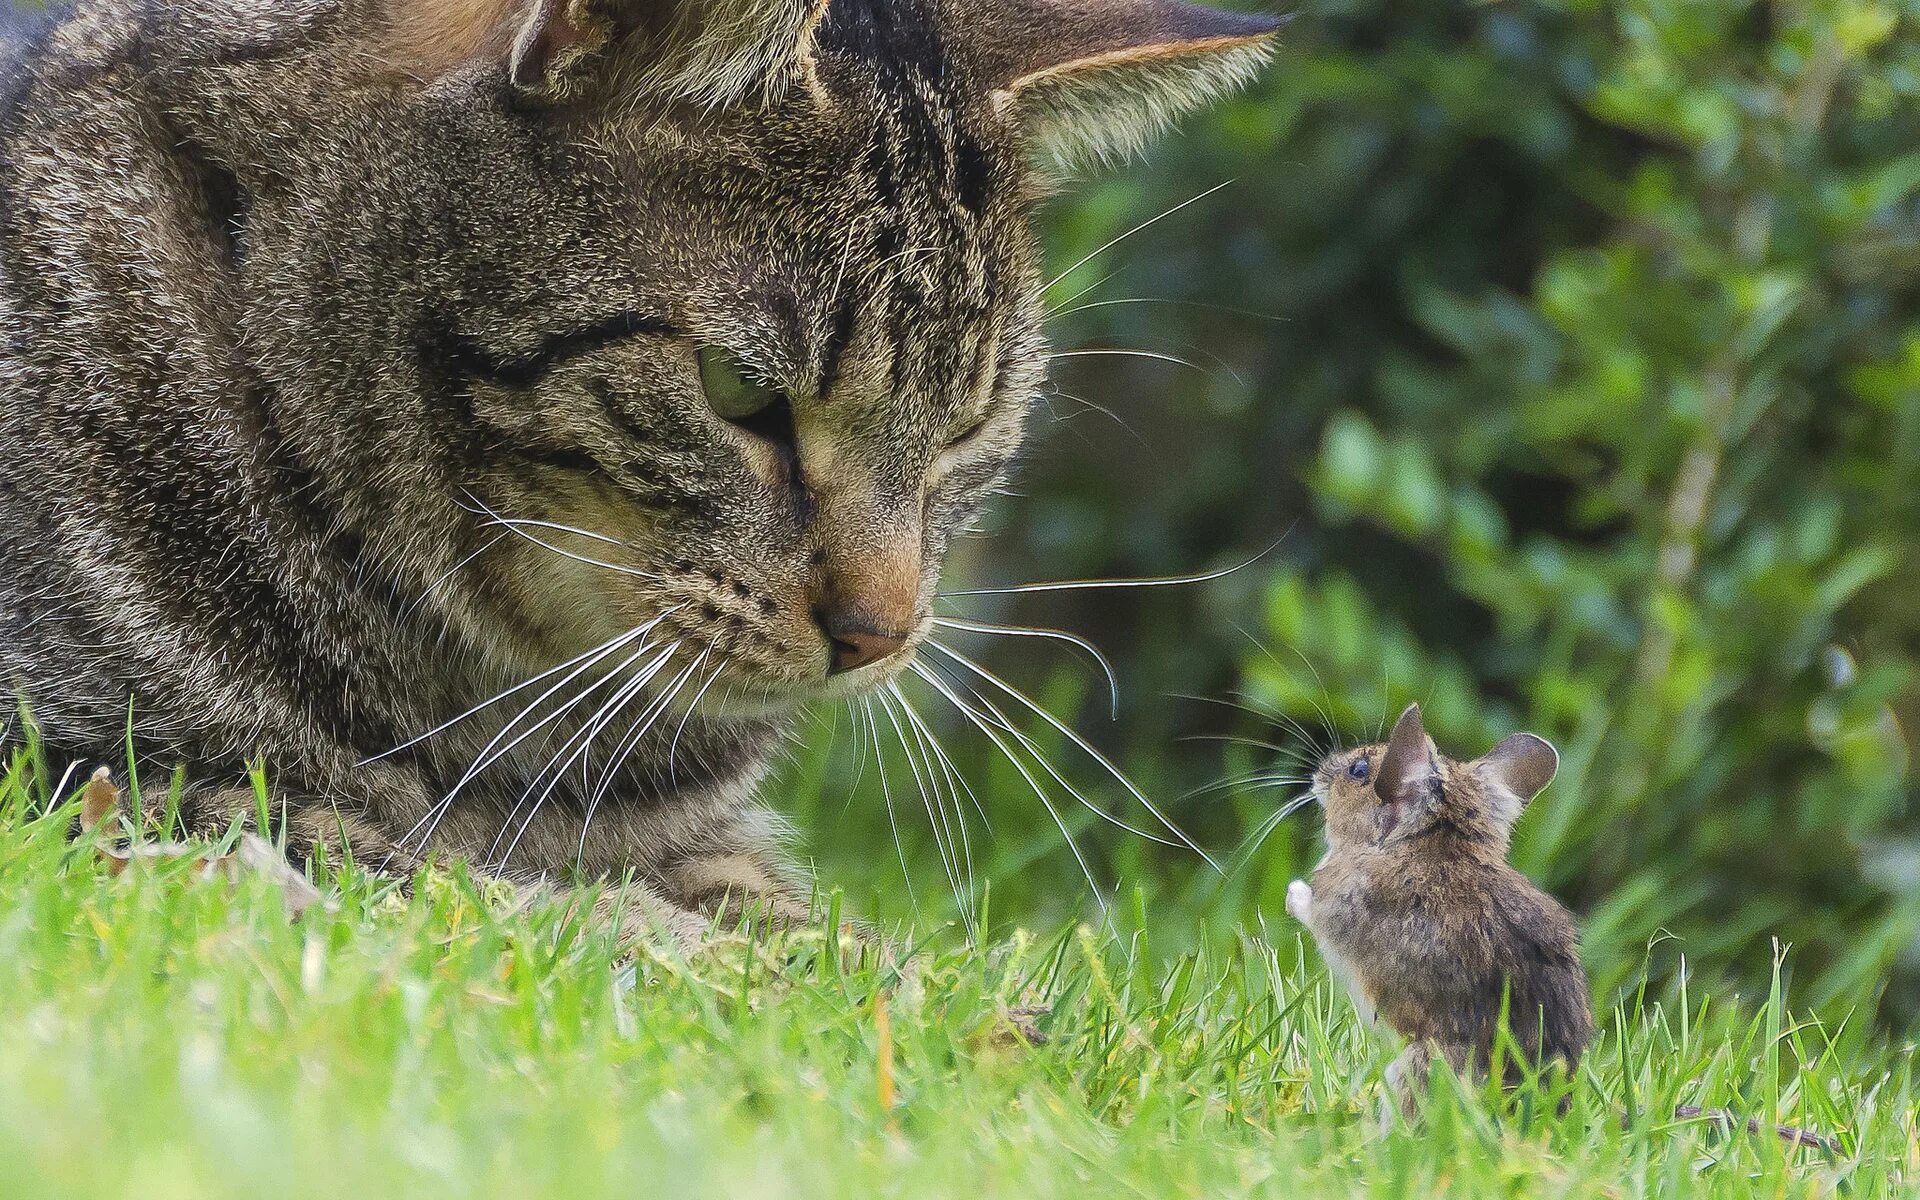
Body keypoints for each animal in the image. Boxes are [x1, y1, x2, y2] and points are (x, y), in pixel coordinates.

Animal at [0, 0, 1282, 936]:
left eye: (969, 427)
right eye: (741, 393)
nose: (881, 634)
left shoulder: (701, 845)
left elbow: (822, 936)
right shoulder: (94, 776)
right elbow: (453, 882)